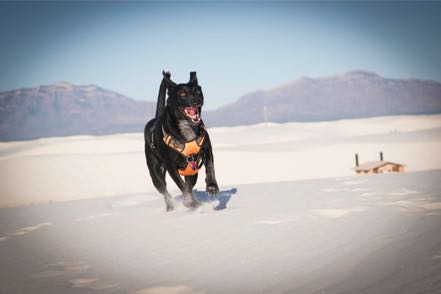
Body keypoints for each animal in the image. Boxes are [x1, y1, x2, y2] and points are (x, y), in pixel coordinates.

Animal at [144, 70, 218, 211]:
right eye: (182, 94)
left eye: (198, 90)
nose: (196, 100)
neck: (187, 127)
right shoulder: (171, 166)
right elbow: (181, 185)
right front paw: (189, 202)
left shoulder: (207, 149)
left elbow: (210, 167)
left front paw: (212, 186)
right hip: (155, 173)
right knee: (165, 191)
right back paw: (172, 207)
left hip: (192, 171)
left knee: (189, 185)